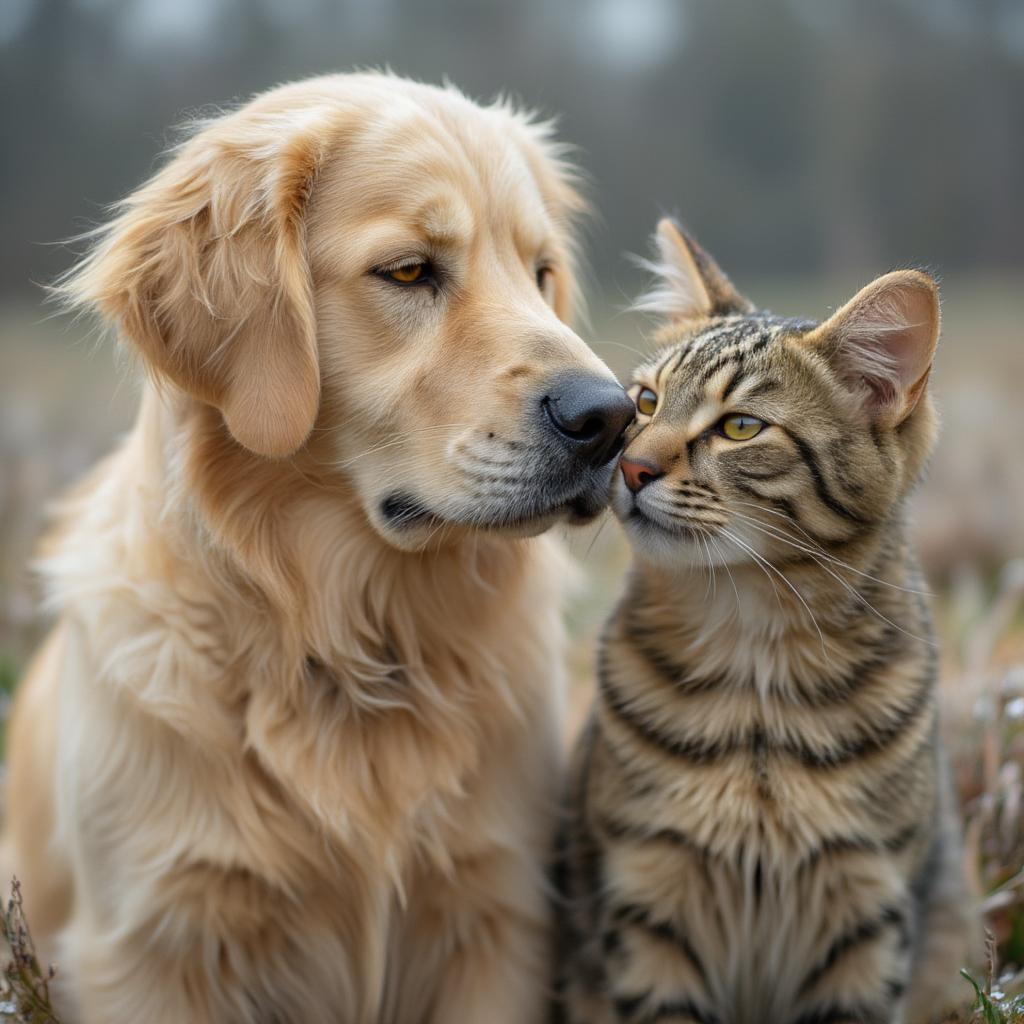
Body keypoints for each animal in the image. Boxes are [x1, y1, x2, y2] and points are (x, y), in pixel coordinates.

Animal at [4, 74, 634, 1024]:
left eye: (541, 272)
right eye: (408, 270)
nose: (611, 417)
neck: (342, 645)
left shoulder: (495, 918)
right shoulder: (156, 948)